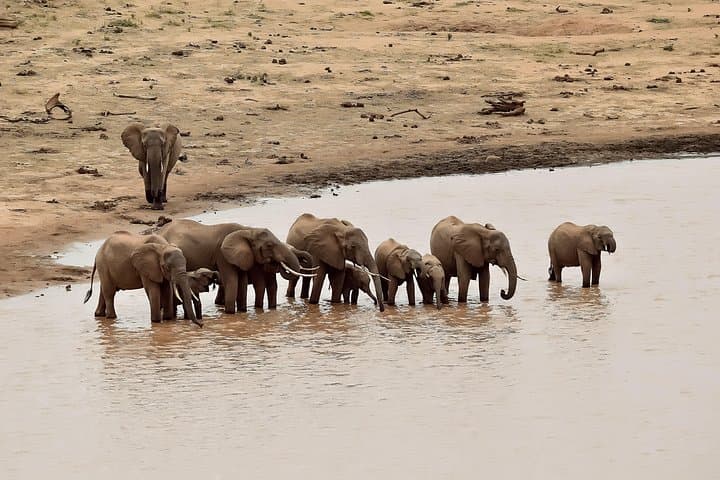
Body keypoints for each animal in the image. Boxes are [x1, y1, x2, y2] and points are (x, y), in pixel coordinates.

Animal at [158, 219, 313, 314]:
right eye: (269, 245)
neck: (247, 231)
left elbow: (243, 282)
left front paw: (243, 311)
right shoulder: (223, 254)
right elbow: (233, 281)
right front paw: (231, 313)